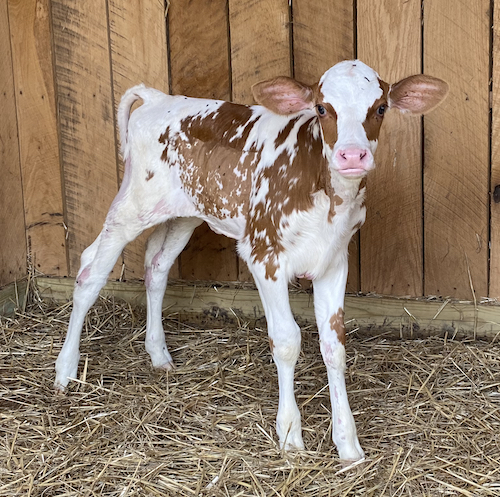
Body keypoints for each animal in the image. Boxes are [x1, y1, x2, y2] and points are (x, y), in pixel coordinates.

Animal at [55, 60, 450, 460]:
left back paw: (159, 355)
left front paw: (348, 444)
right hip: (132, 206)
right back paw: (66, 370)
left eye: (380, 108)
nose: (352, 156)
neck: (325, 193)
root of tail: (158, 97)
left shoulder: (334, 260)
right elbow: (287, 341)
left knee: (157, 266)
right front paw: (290, 434)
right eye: (322, 108)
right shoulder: (264, 255)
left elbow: (334, 346)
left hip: (186, 212)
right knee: (90, 270)